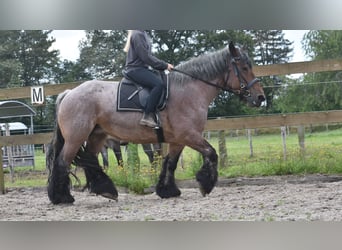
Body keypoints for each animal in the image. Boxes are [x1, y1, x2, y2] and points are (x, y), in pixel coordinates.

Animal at [46, 42, 264, 204]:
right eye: (244, 68)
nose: (260, 98)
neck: (189, 91)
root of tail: (69, 93)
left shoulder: (178, 140)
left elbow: (170, 163)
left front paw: (168, 190)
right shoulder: (189, 135)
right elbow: (211, 153)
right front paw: (205, 184)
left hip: (96, 136)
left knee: (91, 160)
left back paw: (105, 190)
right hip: (76, 138)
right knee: (62, 162)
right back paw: (62, 197)